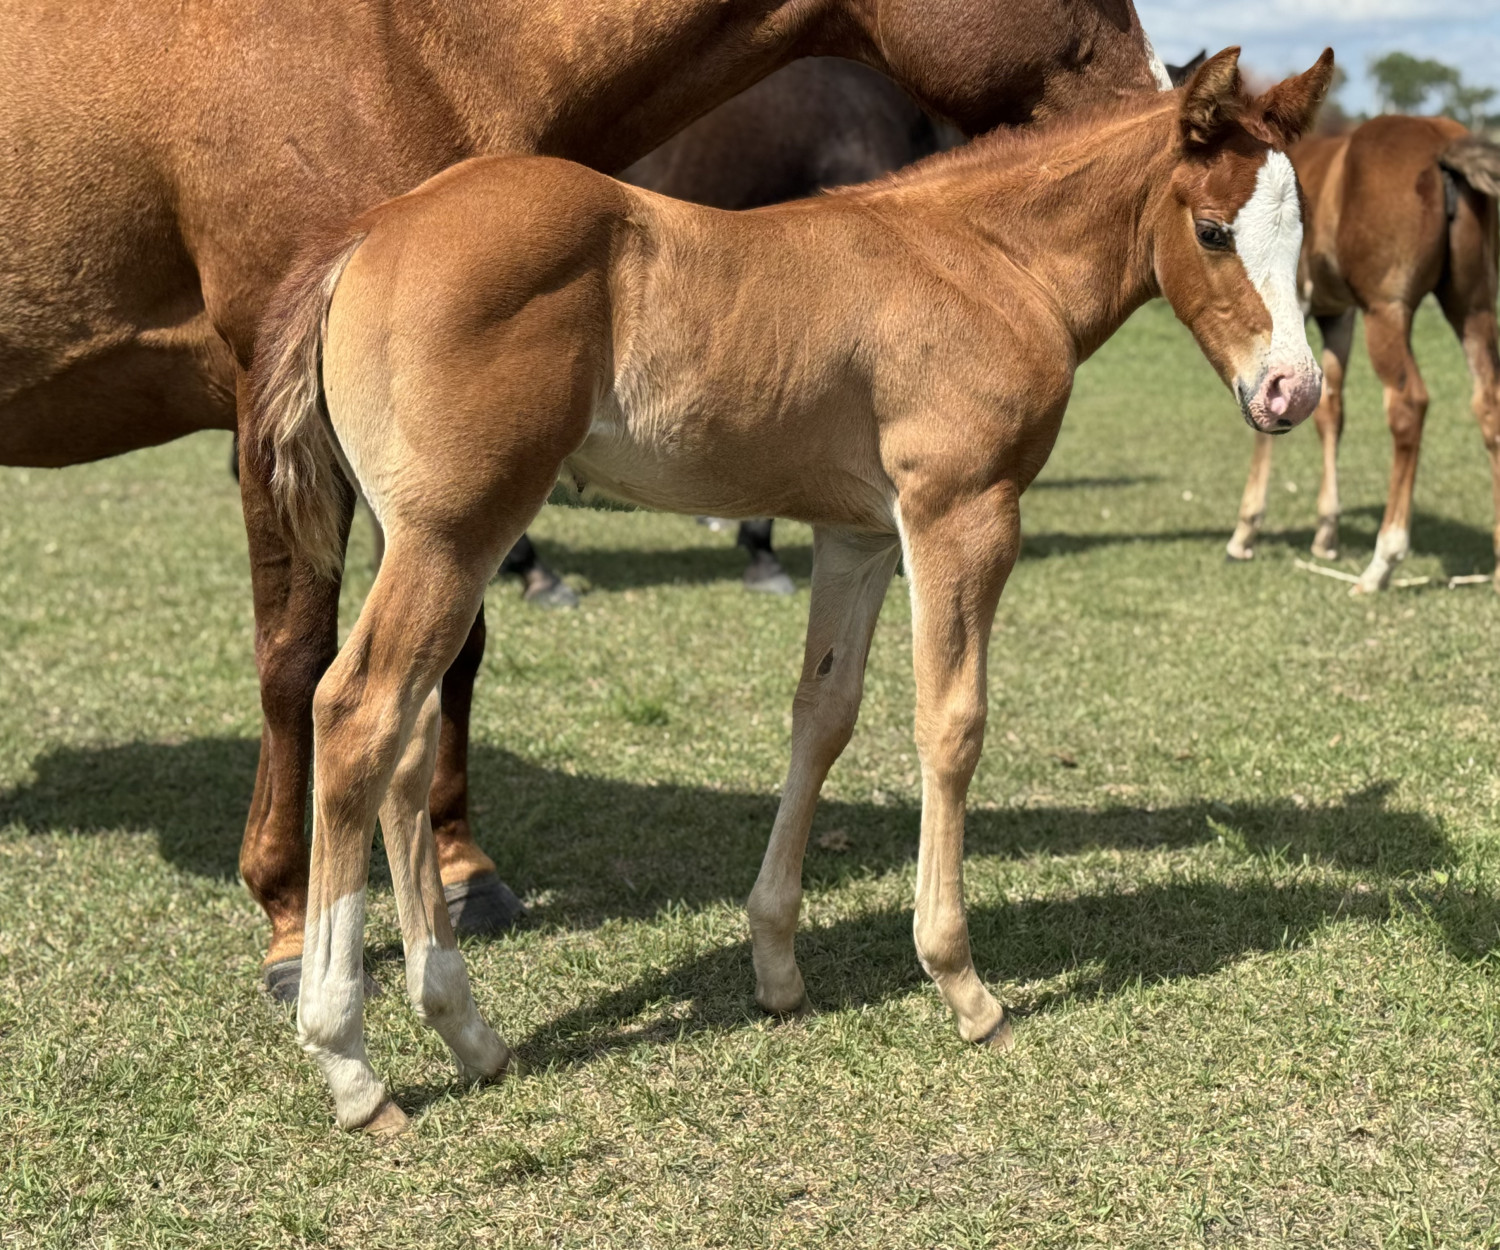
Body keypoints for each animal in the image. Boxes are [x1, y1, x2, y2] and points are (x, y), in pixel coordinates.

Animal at [1223, 116, 1500, 592]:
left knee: (1408, 405)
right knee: (1490, 404)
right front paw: (1326, 533)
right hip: (1473, 308)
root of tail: (1442, 144)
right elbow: (1331, 412)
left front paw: (1245, 532)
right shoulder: (1337, 315)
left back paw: (1382, 561)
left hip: (1387, 312)